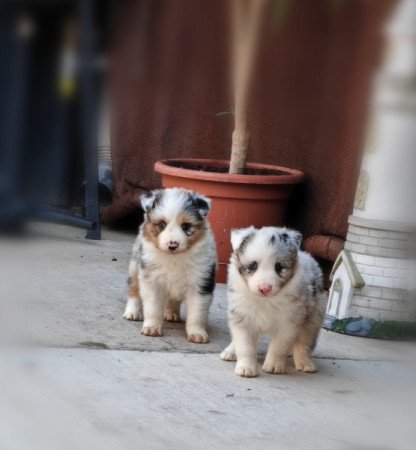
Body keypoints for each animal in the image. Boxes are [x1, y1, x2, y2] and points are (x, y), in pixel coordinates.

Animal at [123, 188, 216, 342]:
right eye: (162, 225)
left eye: (185, 226)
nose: (173, 245)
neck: (174, 258)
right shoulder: (151, 281)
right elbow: (153, 307)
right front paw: (152, 328)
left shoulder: (201, 284)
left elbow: (197, 313)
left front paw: (197, 333)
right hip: (135, 267)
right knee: (134, 291)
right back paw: (132, 313)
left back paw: (171, 314)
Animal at [221, 225, 324, 376]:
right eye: (253, 266)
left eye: (279, 267)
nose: (265, 288)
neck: (265, 301)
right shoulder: (242, 319)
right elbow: (245, 346)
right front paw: (246, 368)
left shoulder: (288, 324)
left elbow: (278, 348)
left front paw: (273, 366)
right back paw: (230, 351)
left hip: (313, 320)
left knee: (303, 344)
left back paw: (305, 363)